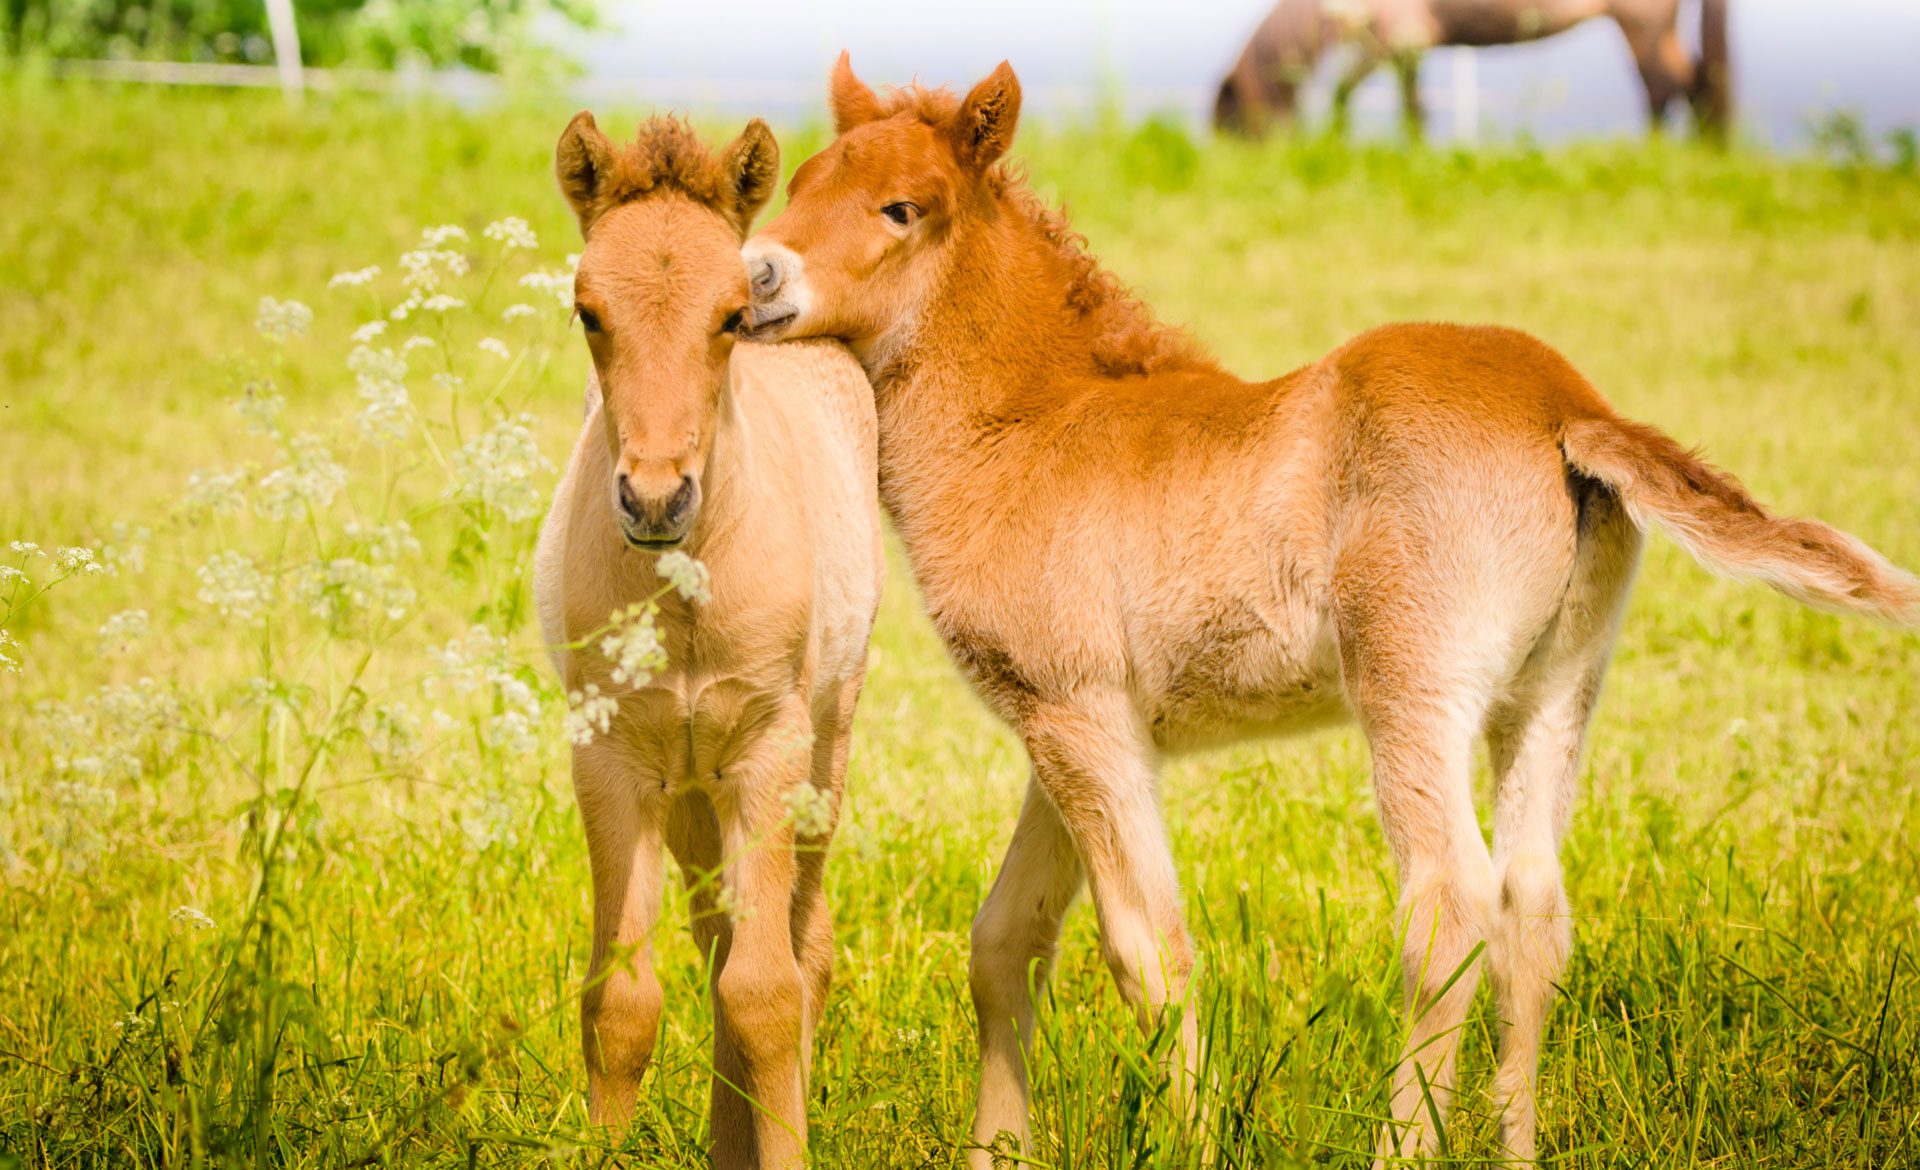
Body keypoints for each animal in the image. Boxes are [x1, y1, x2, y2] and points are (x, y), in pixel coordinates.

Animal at [533, 113, 882, 1168]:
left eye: (729, 314)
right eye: (587, 310)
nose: (655, 498)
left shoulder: (768, 752)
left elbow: (767, 993)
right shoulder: (610, 761)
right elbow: (620, 1003)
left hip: (818, 754)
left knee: (800, 945)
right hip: (689, 788)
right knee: (716, 934)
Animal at [739, 55, 1915, 1167]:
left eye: (903, 207)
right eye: (798, 185)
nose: (757, 276)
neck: (1032, 425)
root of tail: (1567, 404)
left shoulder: (1078, 716)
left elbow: (1148, 950)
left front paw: (1194, 1145)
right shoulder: (1069, 730)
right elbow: (1005, 943)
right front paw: (998, 1150)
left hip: (1411, 685)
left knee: (1450, 905)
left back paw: (1402, 1145)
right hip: (1554, 693)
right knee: (1534, 911)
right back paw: (1517, 1148)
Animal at [1213, 0, 1732, 141]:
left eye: (1233, 126)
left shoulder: (1395, 36)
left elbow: (1344, 94)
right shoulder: (1405, 45)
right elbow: (1413, 107)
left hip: (1640, 21)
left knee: (1663, 86)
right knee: (1694, 81)